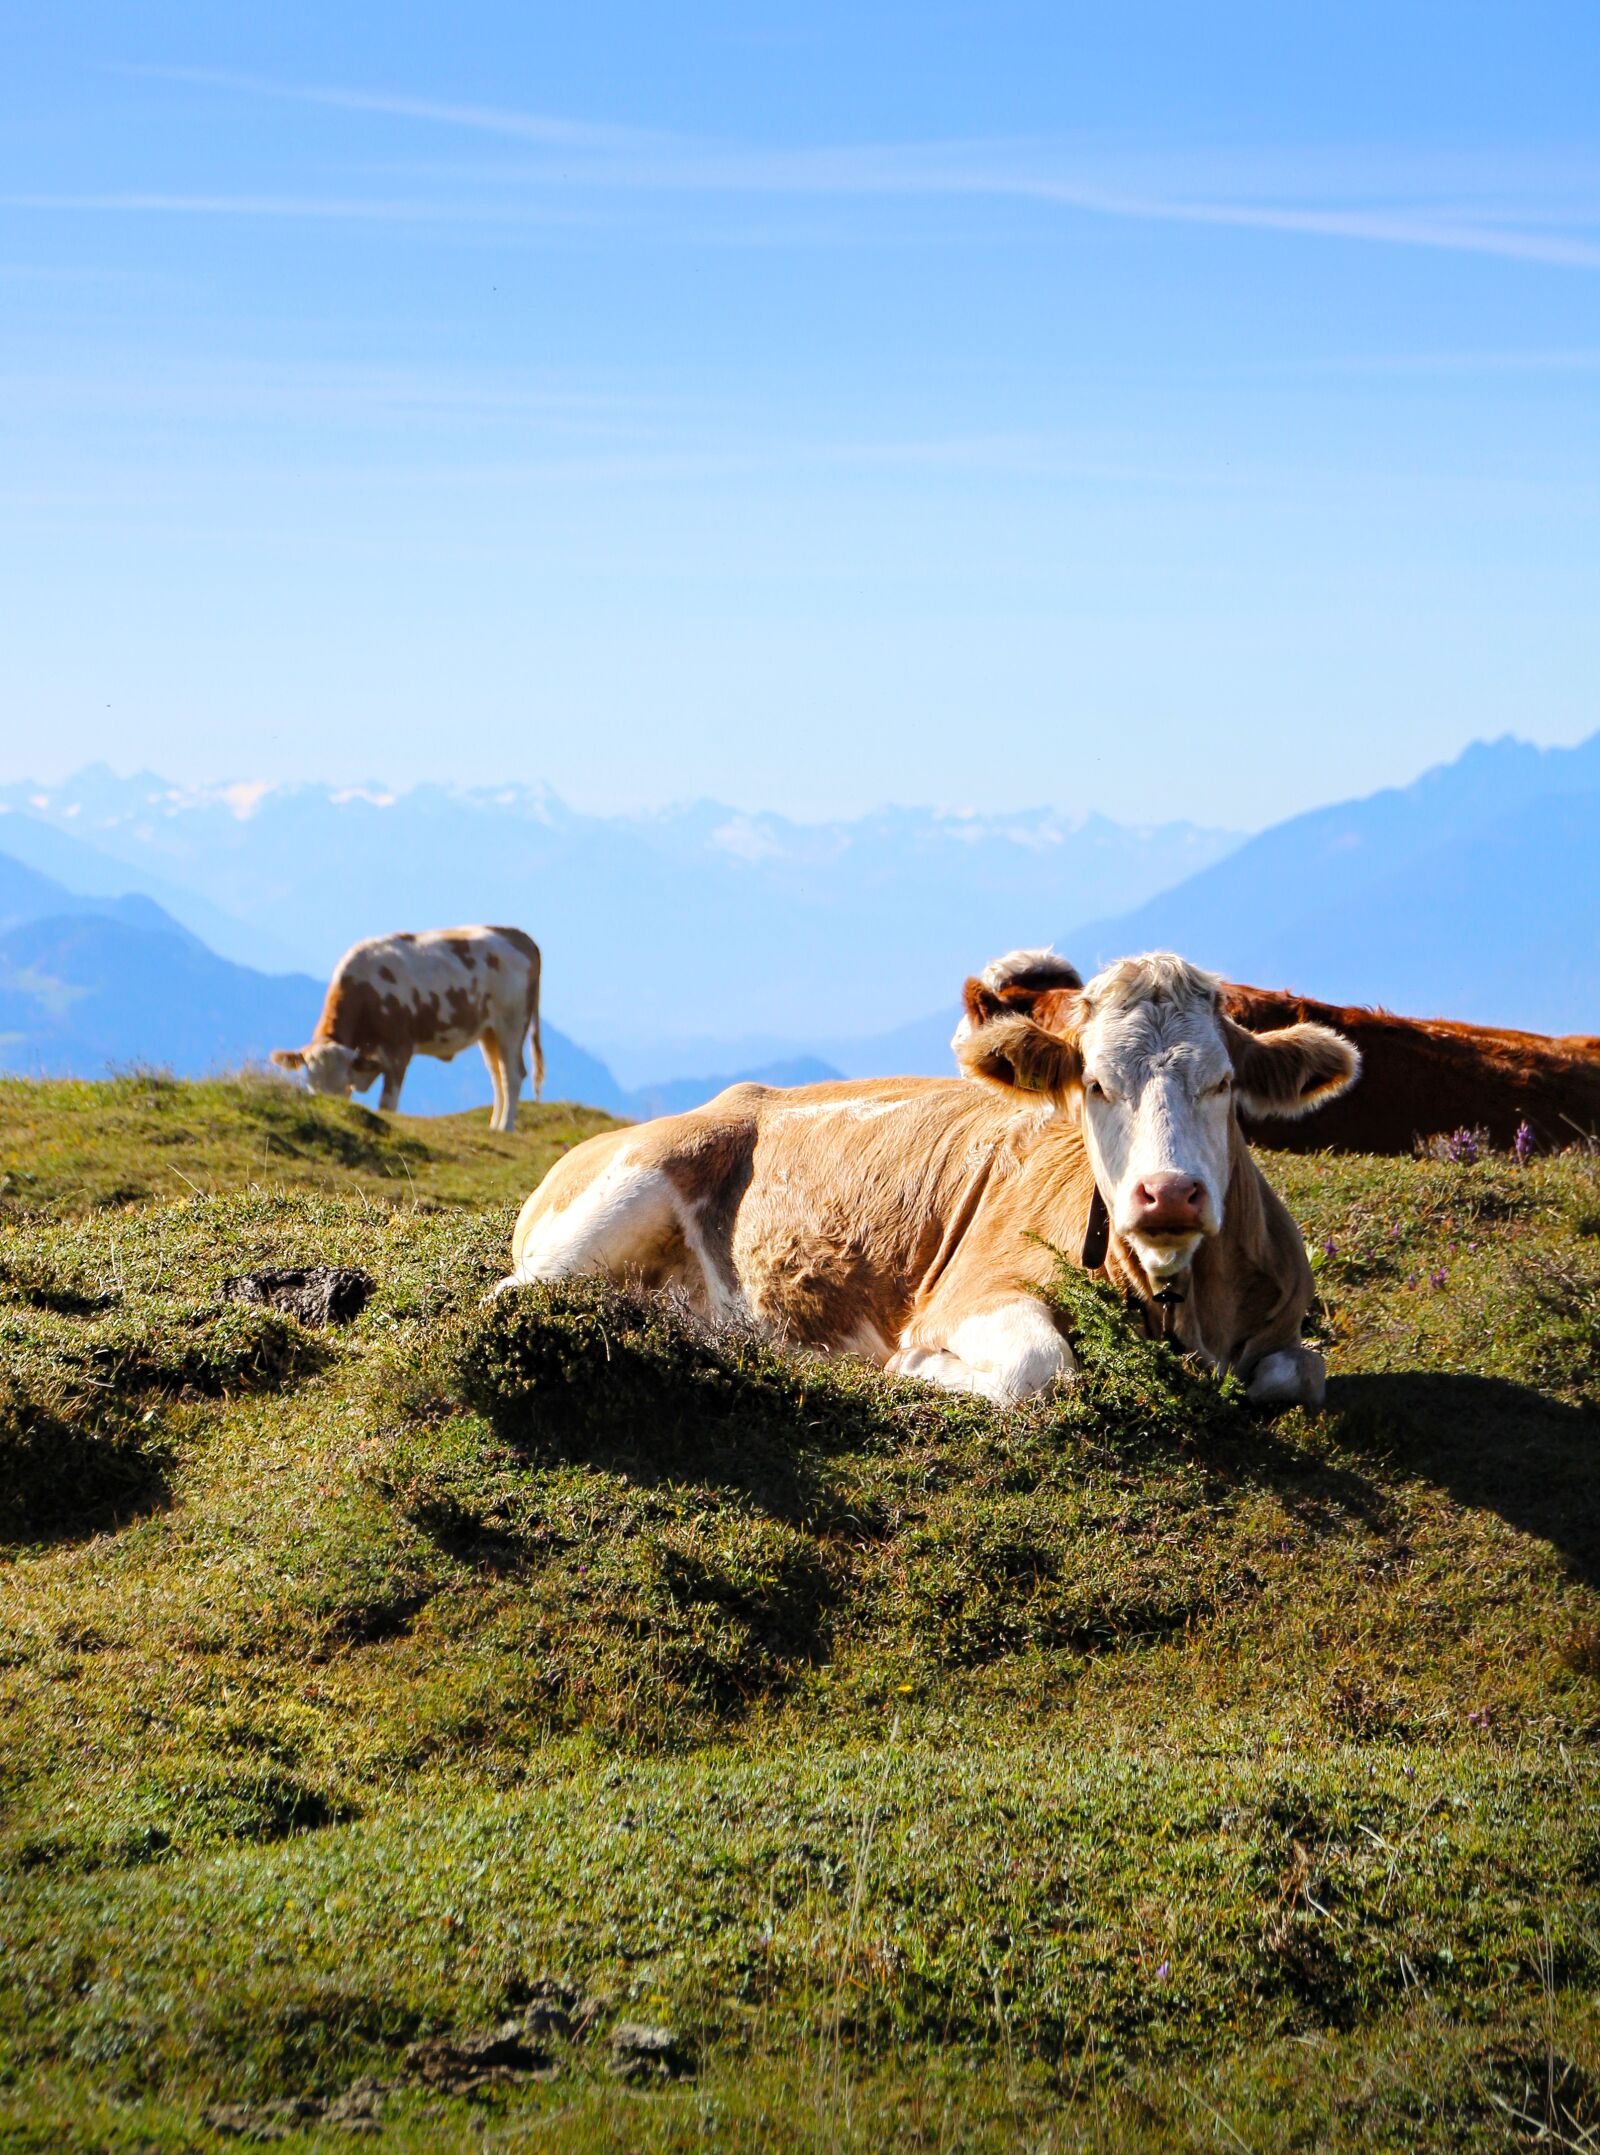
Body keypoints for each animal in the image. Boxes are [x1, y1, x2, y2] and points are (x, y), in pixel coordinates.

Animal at [272, 926, 544, 1133]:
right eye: (312, 1086)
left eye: (341, 1088)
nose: (330, 1109)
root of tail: (517, 935)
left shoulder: (398, 1051)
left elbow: (387, 1104)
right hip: (489, 1032)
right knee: (497, 1075)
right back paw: (494, 1127)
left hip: (512, 1022)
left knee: (512, 1075)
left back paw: (506, 1128)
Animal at [494, 951, 1359, 1409]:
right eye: (1095, 1085)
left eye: (1222, 1083)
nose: (1168, 1192)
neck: (1181, 1305)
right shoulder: (972, 1291)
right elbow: (1038, 1367)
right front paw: (918, 1368)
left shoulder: (1281, 1328)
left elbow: (1301, 1370)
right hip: (622, 1191)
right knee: (516, 1291)